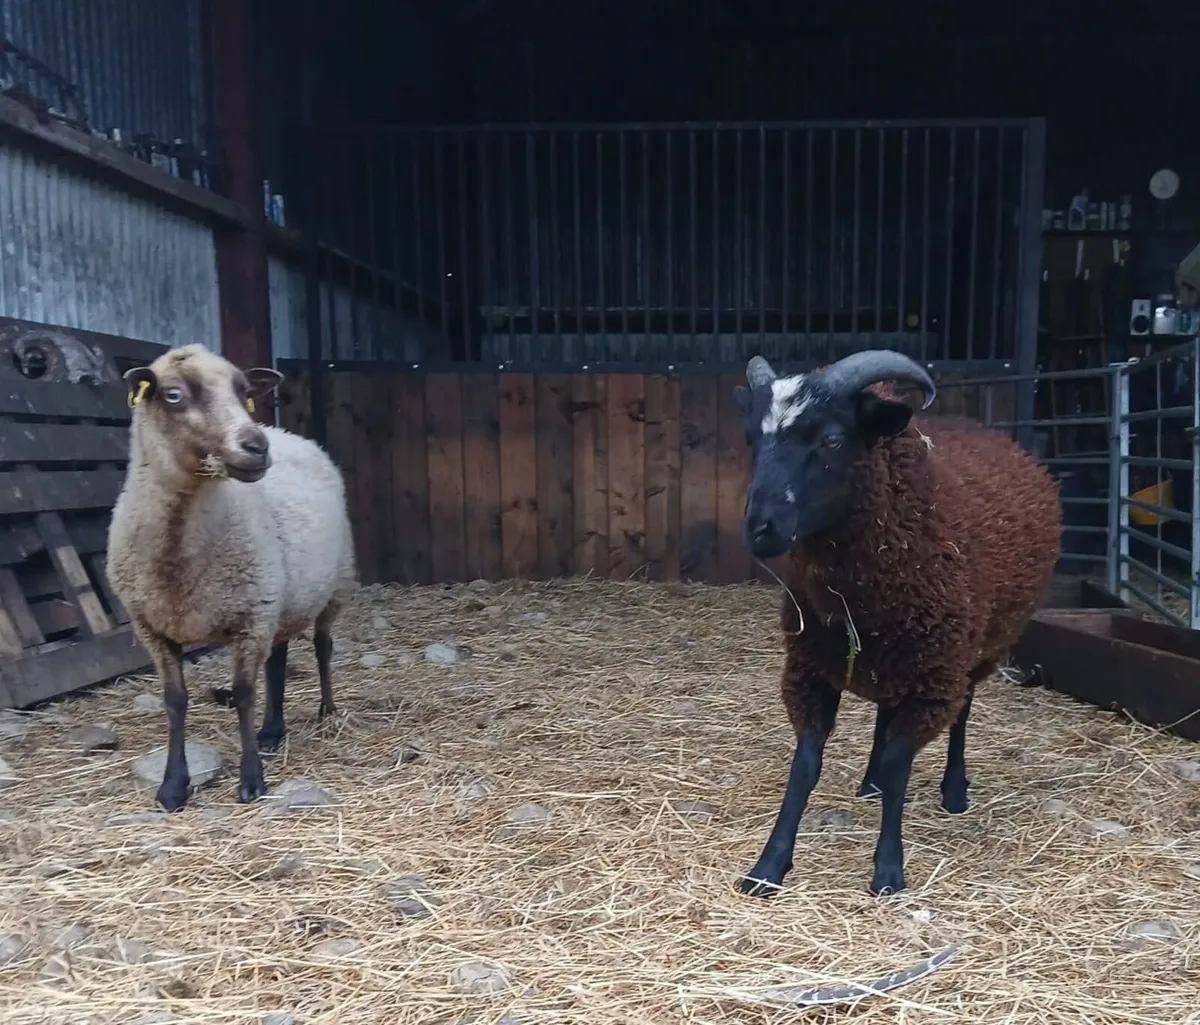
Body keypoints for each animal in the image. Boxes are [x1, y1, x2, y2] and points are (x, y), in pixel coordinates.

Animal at [106, 344, 358, 811]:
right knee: (278, 662)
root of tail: (288, 433)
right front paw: (172, 787)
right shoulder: (153, 627)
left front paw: (252, 780)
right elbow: (175, 701)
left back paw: (327, 709)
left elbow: (243, 695)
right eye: (172, 394)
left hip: (332, 586)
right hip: (280, 598)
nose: (256, 446)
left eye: (244, 392)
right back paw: (272, 730)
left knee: (322, 647)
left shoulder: (250, 619)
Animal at [733, 349, 1061, 897]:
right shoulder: (810, 668)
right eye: (753, 439)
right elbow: (806, 766)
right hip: (897, 658)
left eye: (832, 439)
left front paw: (888, 869)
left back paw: (954, 791)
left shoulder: (933, 679)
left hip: (975, 650)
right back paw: (869, 784)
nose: (760, 530)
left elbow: (900, 763)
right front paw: (768, 867)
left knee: (962, 712)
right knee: (885, 716)